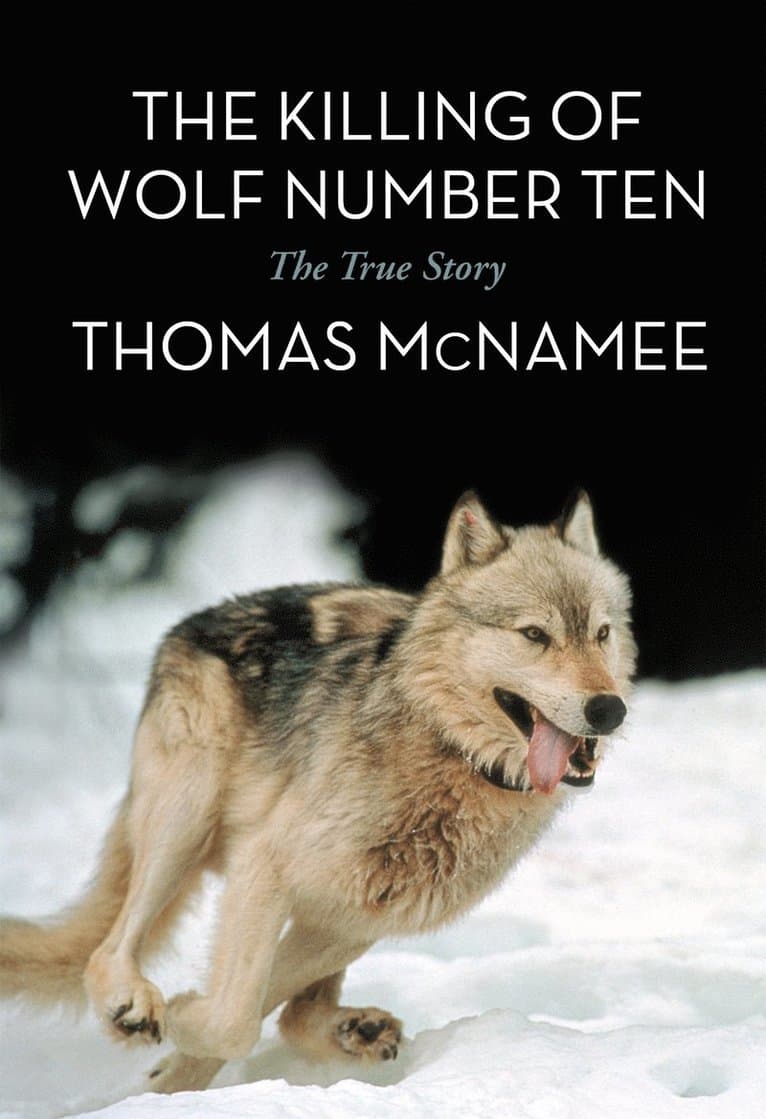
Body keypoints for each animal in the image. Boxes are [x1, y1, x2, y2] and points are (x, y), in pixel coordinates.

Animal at [0, 490, 635, 1094]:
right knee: (109, 949)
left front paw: (179, 1052)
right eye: (535, 634)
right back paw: (131, 1007)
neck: (447, 751)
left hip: (333, 909)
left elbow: (250, 1011)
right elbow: (234, 1019)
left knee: (290, 1010)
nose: (609, 709)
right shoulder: (267, 866)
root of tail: (192, 622)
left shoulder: (349, 919)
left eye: (601, 633)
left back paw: (351, 1031)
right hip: (186, 825)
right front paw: (180, 1016)